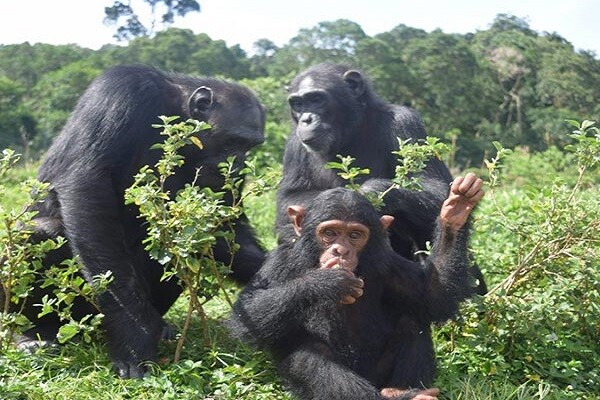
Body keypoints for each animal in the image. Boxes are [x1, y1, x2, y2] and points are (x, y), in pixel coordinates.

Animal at [15, 65, 264, 378]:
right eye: (234, 141)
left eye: (251, 146)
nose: (239, 163)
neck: (176, 109)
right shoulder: (122, 90)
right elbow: (88, 184)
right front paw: (134, 335)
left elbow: (225, 226)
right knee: (37, 234)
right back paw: (37, 335)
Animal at [227, 173, 486, 400]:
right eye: (329, 233)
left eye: (354, 235)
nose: (341, 251)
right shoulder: (280, 262)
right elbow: (247, 314)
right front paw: (327, 282)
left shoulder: (388, 263)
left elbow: (431, 296)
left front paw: (456, 211)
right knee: (309, 355)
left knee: (410, 323)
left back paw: (403, 391)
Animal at [274, 62, 486, 294]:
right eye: (298, 103)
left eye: (316, 99)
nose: (306, 118)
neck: (350, 131)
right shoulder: (294, 141)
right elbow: (290, 198)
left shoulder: (405, 123)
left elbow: (436, 187)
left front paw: (368, 193)